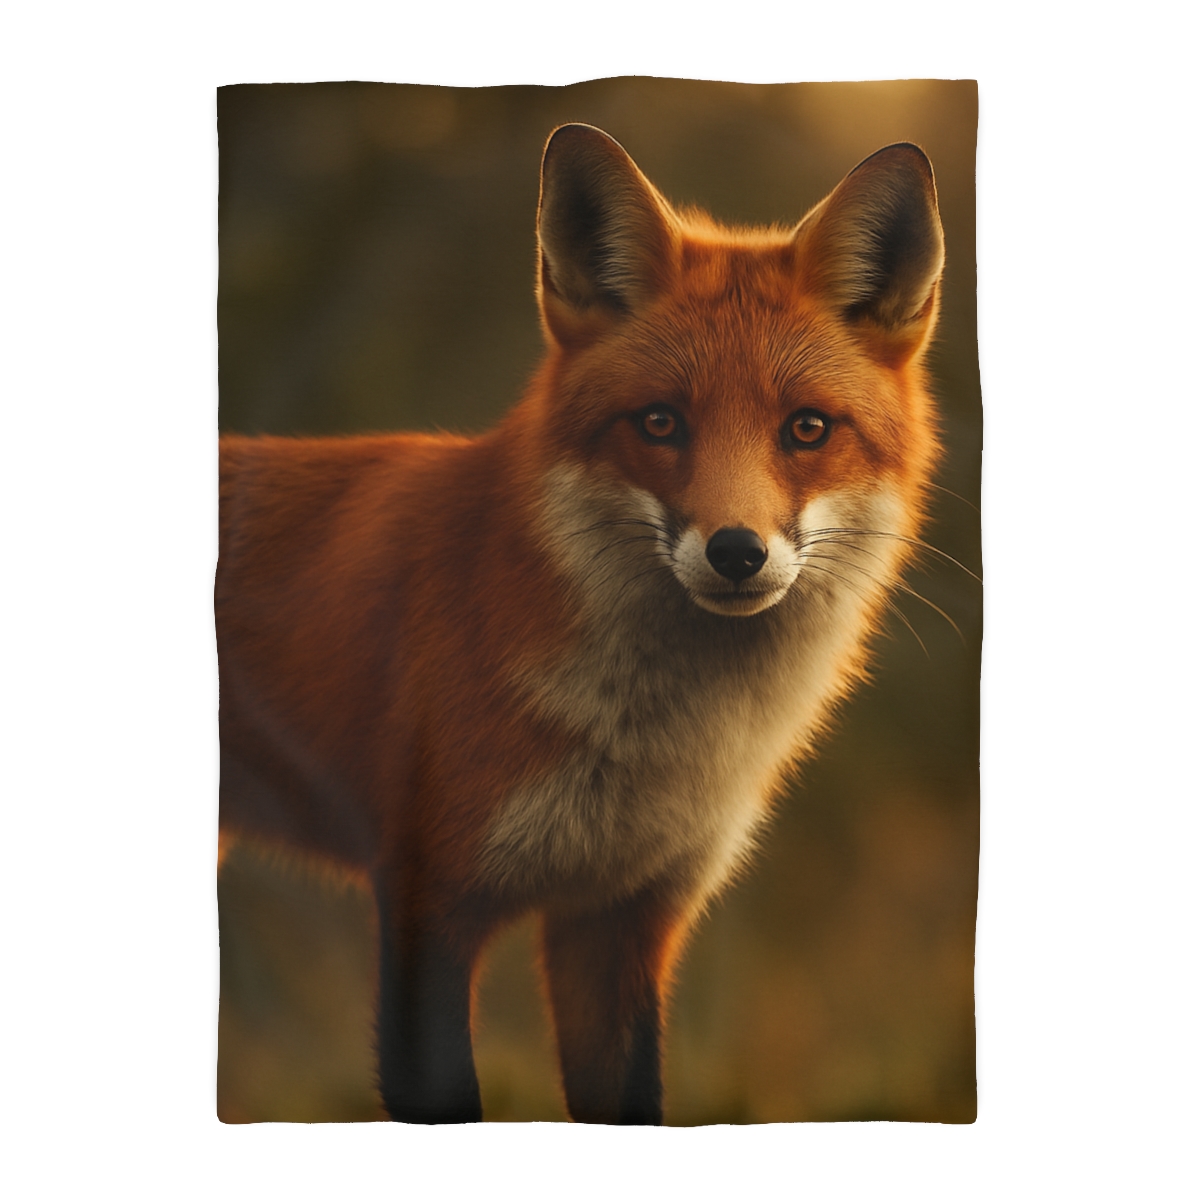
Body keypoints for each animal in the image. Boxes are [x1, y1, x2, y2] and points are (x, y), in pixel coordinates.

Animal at [217, 122, 946, 1125]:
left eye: (807, 428)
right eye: (659, 422)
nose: (736, 552)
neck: (642, 744)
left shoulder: (621, 921)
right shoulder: (425, 901)